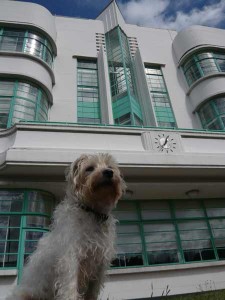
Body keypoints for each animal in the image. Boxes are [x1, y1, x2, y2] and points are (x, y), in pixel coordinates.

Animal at [7, 154, 125, 300]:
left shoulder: (99, 265)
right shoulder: (70, 260)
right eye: (89, 168)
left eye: (110, 166)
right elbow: (70, 289)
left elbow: (92, 292)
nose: (109, 172)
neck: (93, 212)